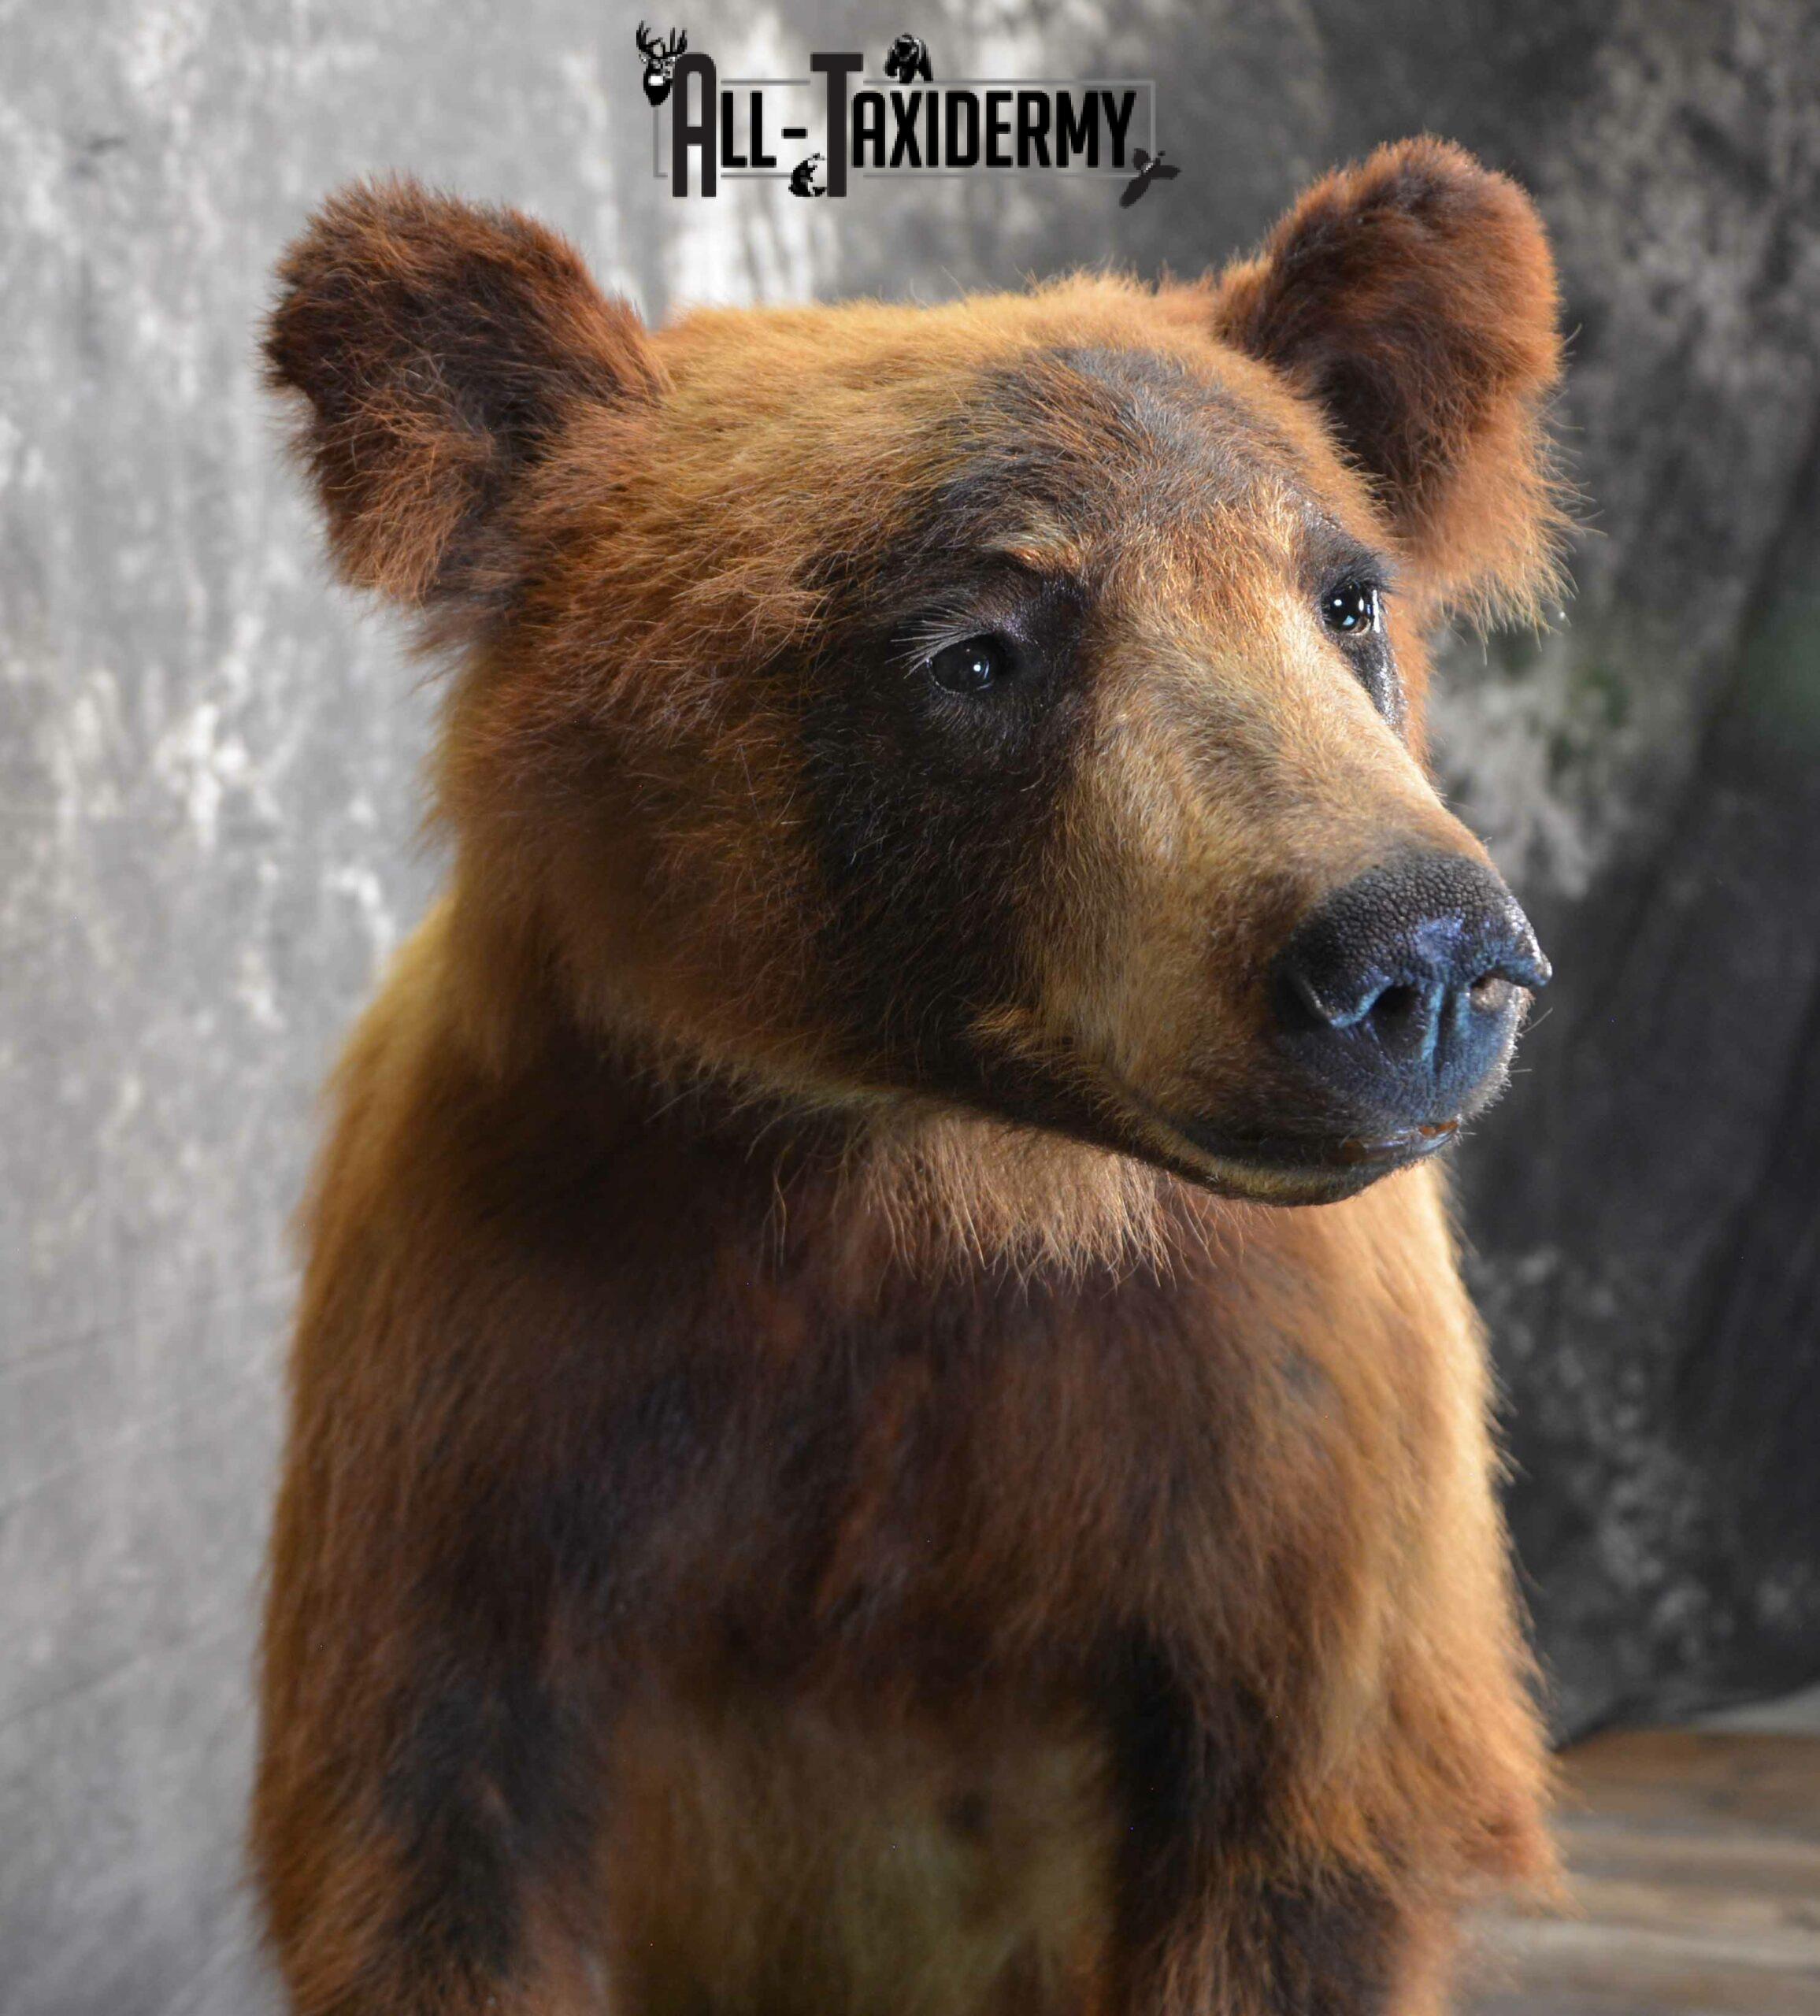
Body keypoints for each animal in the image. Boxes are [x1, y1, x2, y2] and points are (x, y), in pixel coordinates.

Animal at [254, 137, 1566, 2016]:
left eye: (1344, 595)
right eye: (977, 646)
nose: (1428, 952)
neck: (932, 1178)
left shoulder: (1274, 1448)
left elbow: (1302, 1840)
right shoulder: (497, 1379)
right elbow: (434, 1840)